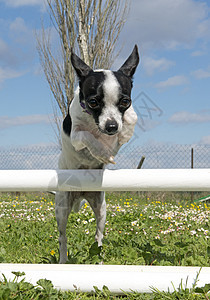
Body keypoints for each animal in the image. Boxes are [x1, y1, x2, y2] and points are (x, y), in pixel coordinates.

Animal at [55, 44, 139, 262]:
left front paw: (124, 133)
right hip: (62, 208)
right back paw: (63, 260)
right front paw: (101, 151)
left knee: (98, 236)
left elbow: (132, 118)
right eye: (93, 102)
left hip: (101, 209)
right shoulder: (76, 136)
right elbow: (87, 136)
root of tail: (82, 194)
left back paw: (98, 260)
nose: (111, 126)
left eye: (125, 101)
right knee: (63, 237)